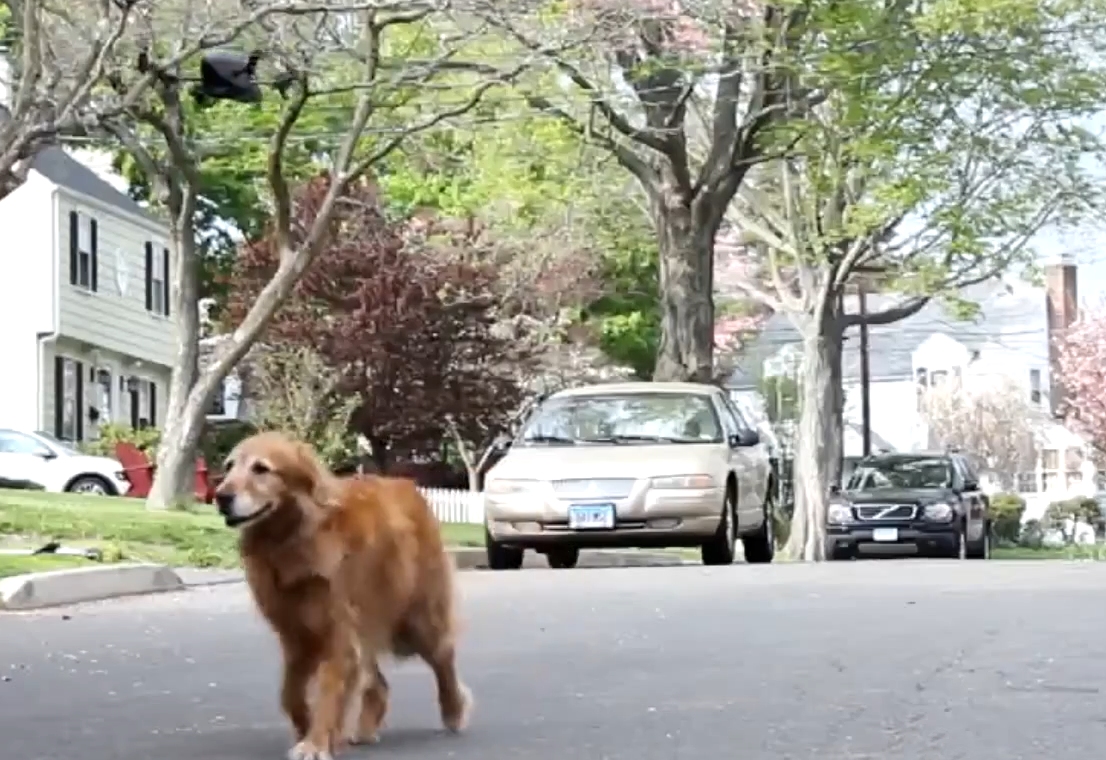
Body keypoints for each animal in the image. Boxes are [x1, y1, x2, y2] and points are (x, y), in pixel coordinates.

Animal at [213, 431, 473, 756]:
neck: (291, 540)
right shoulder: (297, 637)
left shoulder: (337, 632)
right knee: (379, 682)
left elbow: (329, 690)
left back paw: (454, 712)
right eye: (229, 466)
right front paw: (308, 729)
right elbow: (289, 693)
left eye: (261, 469)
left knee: (444, 659)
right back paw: (365, 729)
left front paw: (315, 743)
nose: (220, 496)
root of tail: (408, 485)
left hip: (419, 620)